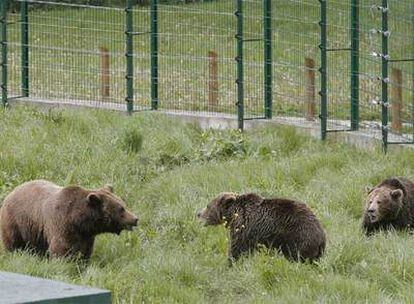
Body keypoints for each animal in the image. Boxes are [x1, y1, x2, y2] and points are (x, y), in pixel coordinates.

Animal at [0, 180, 139, 258]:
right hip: (16, 221)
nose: (135, 218)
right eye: (121, 209)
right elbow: (62, 249)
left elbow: (85, 251)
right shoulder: (61, 224)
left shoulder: (86, 235)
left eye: (123, 204)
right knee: (14, 242)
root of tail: (10, 192)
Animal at [197, 192, 326, 262]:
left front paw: (230, 262)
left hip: (297, 235)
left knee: (296, 255)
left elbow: (237, 248)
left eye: (208, 206)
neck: (234, 214)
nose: (198, 213)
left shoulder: (244, 228)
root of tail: (322, 237)